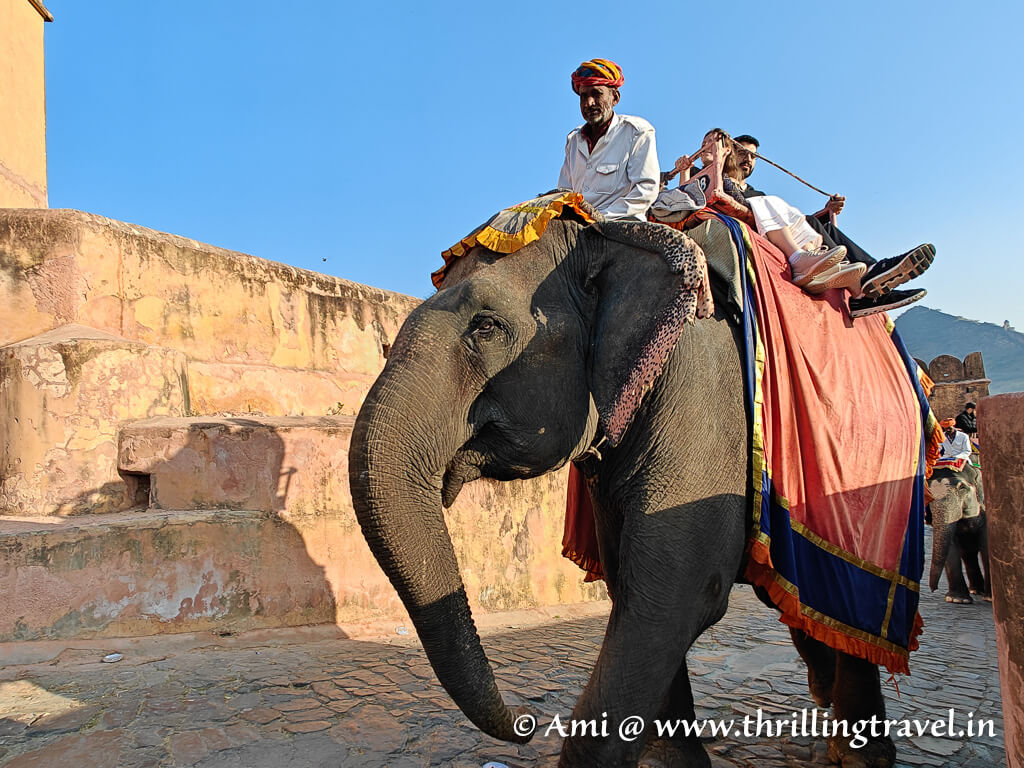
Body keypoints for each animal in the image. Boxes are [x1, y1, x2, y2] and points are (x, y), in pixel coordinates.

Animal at [349, 215, 901, 767]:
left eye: (485, 327)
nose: (526, 722)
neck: (611, 238)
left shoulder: (705, 398)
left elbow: (677, 592)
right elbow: (631, 584)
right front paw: (672, 759)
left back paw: (859, 753)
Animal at [927, 465, 990, 604]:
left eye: (962, 488)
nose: (933, 589)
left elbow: (986, 543)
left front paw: (990, 598)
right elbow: (951, 544)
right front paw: (958, 600)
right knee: (968, 554)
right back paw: (976, 591)